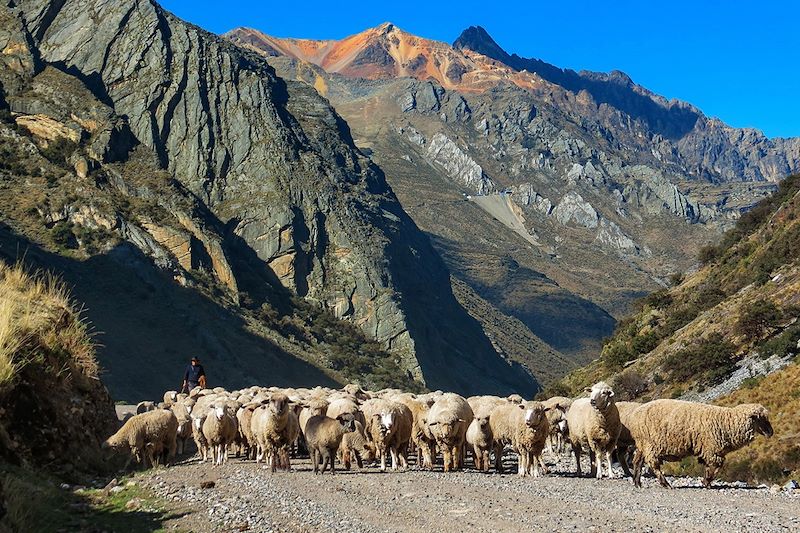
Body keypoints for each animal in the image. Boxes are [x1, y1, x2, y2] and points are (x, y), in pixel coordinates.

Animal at [628, 400, 772, 486]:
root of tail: (634, 415)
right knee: (653, 465)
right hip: (650, 444)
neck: (727, 423)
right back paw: (665, 484)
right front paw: (707, 481)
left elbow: (711, 466)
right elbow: (717, 465)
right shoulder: (711, 449)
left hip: (642, 444)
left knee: (637, 462)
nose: (771, 432)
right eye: (761, 418)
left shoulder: (711, 450)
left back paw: (637, 482)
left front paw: (706, 481)